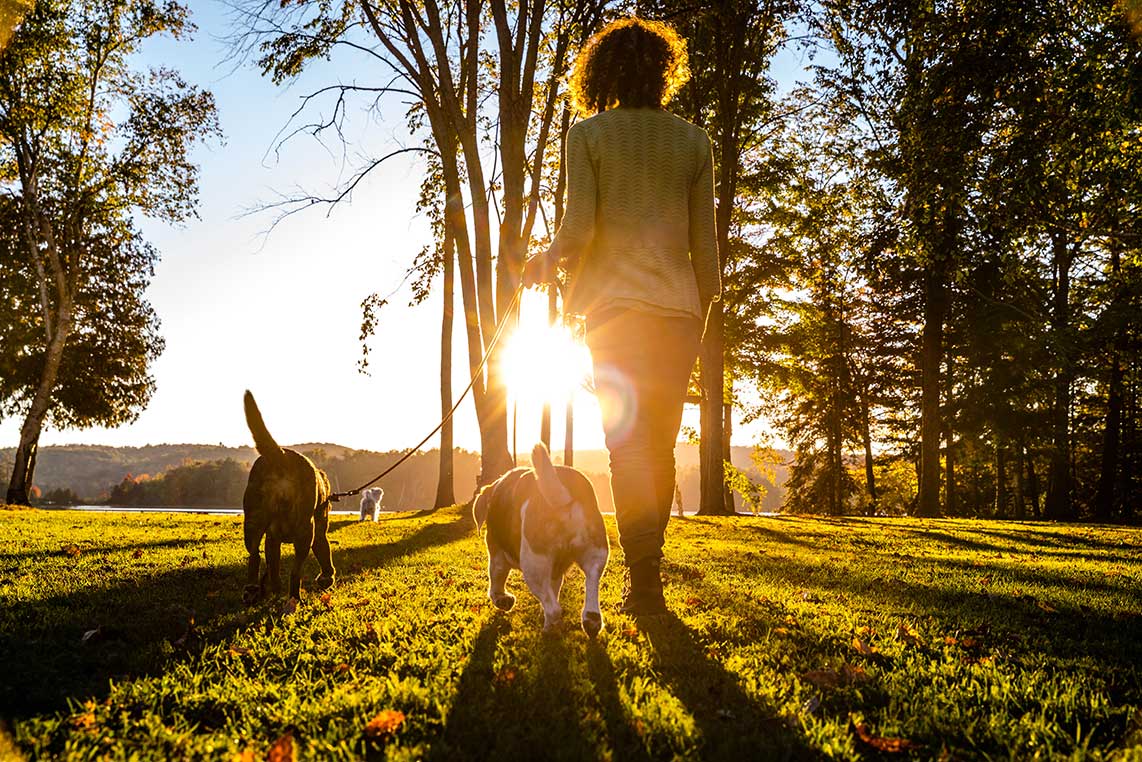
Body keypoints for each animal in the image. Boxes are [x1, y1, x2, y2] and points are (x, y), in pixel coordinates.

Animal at [238, 390, 333, 603]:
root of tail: (281, 455)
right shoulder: (318, 532)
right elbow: (324, 552)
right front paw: (327, 577)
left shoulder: (272, 538)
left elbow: (272, 567)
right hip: (305, 531)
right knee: (295, 572)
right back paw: (294, 598)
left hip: (253, 521)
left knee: (255, 556)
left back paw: (254, 589)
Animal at [470, 443, 607, 635]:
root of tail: (564, 493)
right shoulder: (555, 573)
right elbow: (554, 590)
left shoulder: (497, 555)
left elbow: (496, 581)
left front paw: (502, 600)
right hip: (596, 555)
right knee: (591, 583)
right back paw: (591, 621)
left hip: (533, 565)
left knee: (554, 609)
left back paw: (550, 630)